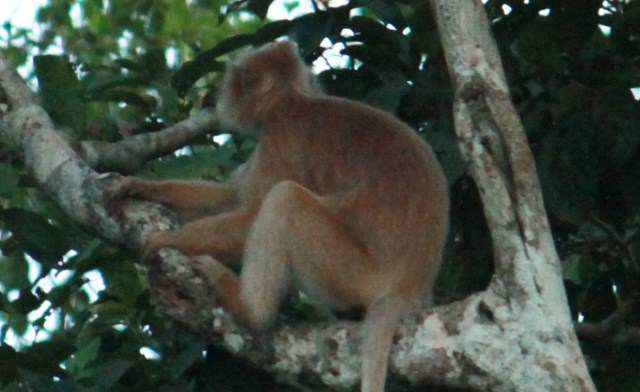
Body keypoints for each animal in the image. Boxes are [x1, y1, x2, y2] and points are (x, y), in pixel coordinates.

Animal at [110, 40, 448, 392]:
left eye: (238, 78)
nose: (224, 93)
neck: (291, 102)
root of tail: (409, 286)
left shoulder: (280, 138)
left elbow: (250, 214)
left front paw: (170, 239)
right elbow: (233, 197)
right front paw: (140, 187)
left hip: (358, 275)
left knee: (284, 200)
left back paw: (250, 311)